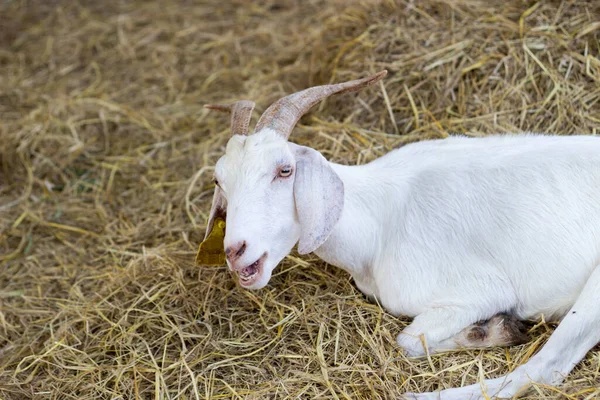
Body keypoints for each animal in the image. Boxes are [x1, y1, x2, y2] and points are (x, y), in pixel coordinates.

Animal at [196, 70, 600, 398]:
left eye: (284, 170)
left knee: (545, 367)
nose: (235, 250)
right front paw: (494, 329)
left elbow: (406, 340)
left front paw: (493, 328)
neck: (379, 220)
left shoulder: (480, 290)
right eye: (219, 180)